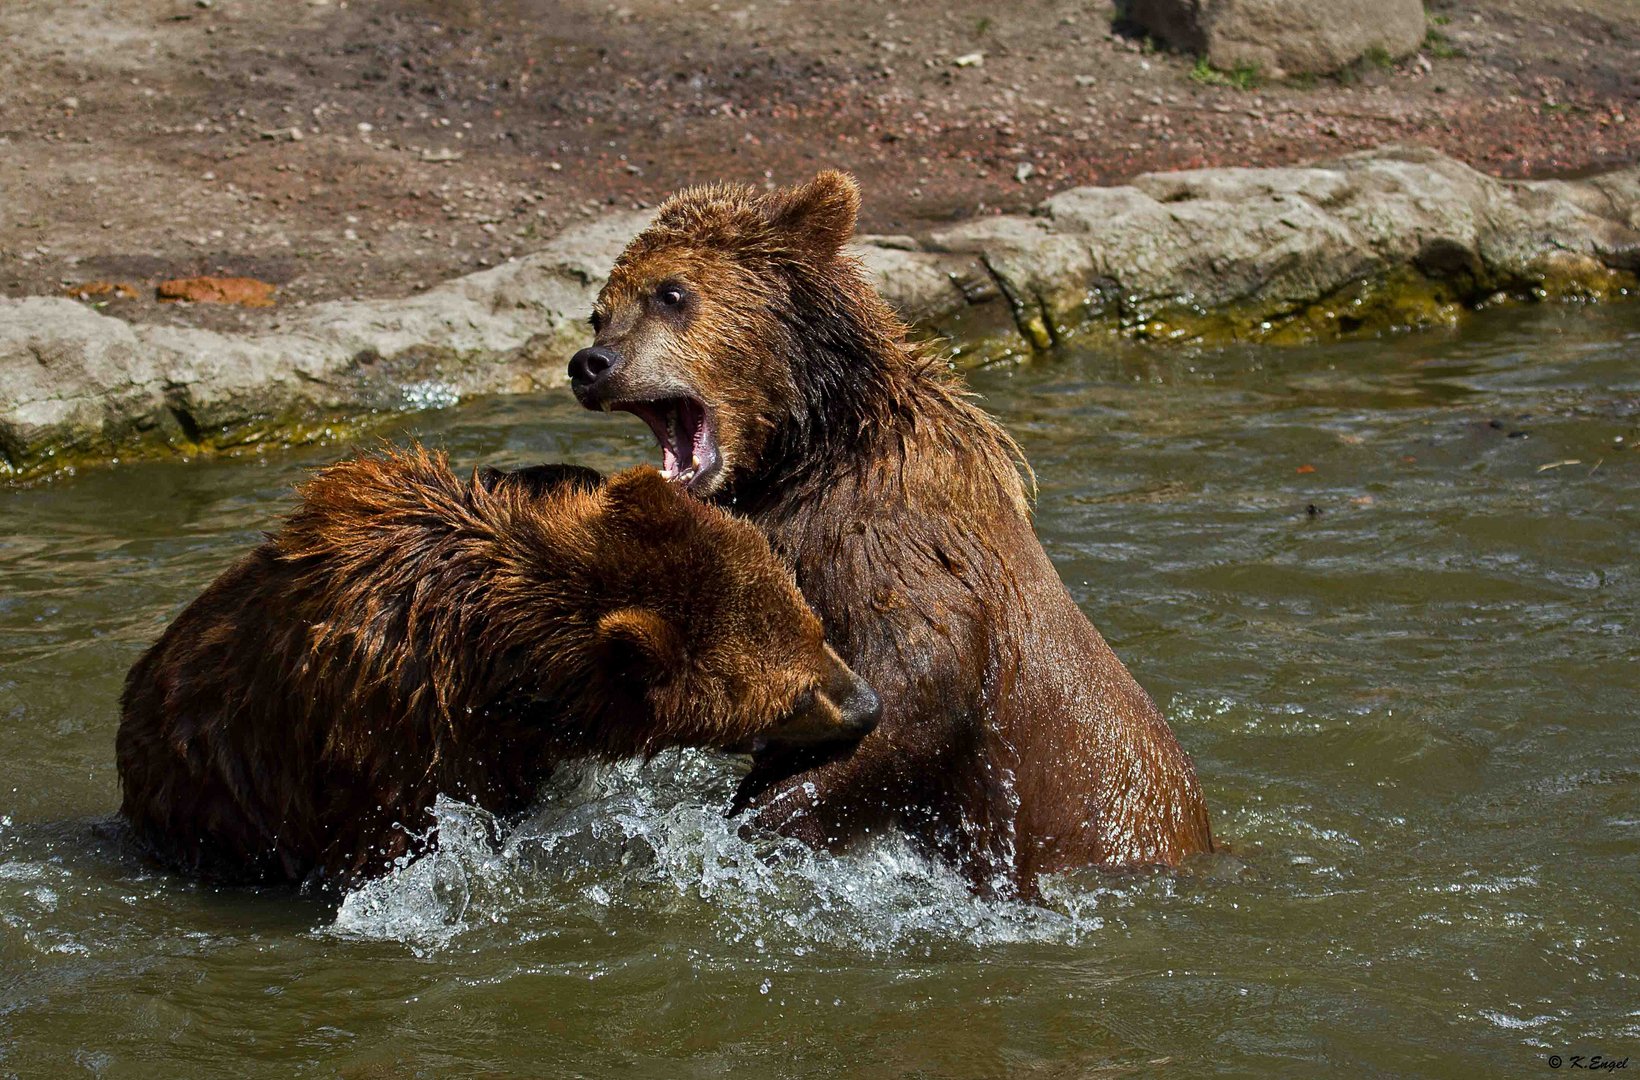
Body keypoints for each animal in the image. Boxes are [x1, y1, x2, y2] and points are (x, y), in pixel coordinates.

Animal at [570, 171, 1213, 898]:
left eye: (672, 293)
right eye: (599, 312)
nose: (591, 363)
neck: (816, 448)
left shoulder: (889, 552)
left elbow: (908, 697)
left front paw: (754, 820)